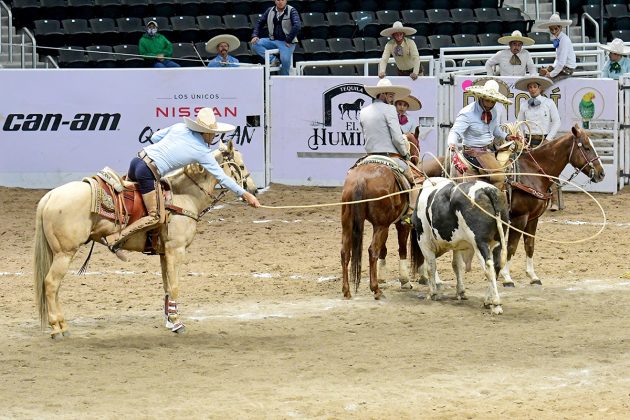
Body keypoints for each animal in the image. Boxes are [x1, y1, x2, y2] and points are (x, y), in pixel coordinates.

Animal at [33, 140, 256, 338]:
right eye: (241, 166)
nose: (254, 190)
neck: (182, 197)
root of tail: (50, 196)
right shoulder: (176, 250)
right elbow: (175, 286)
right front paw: (177, 323)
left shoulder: (164, 253)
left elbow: (167, 286)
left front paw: (169, 319)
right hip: (65, 253)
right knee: (51, 284)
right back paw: (57, 329)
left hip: (58, 253)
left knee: (55, 287)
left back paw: (62, 325)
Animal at [412, 177, 512, 316]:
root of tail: (487, 189)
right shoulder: (458, 244)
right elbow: (457, 266)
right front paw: (460, 292)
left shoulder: (423, 240)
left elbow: (431, 266)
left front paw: (432, 293)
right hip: (497, 241)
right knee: (496, 266)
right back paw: (488, 300)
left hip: (480, 242)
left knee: (489, 267)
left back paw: (496, 304)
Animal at [420, 125, 608, 286]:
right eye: (586, 147)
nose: (601, 174)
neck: (532, 172)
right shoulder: (519, 218)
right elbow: (511, 247)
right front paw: (507, 277)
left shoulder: (533, 219)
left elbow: (529, 246)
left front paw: (533, 276)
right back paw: (435, 279)